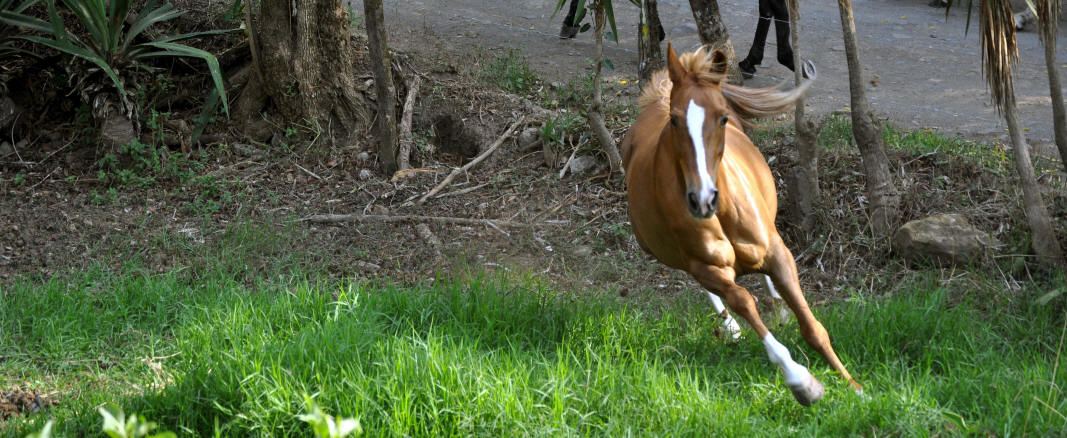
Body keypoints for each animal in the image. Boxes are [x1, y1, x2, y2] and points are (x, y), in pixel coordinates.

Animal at [621, 44, 861, 406]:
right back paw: (731, 327)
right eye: (675, 120)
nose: (702, 199)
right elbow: (743, 302)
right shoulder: (706, 268)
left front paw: (856, 388)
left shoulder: (777, 253)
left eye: (722, 117)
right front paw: (803, 383)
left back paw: (776, 304)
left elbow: (813, 328)